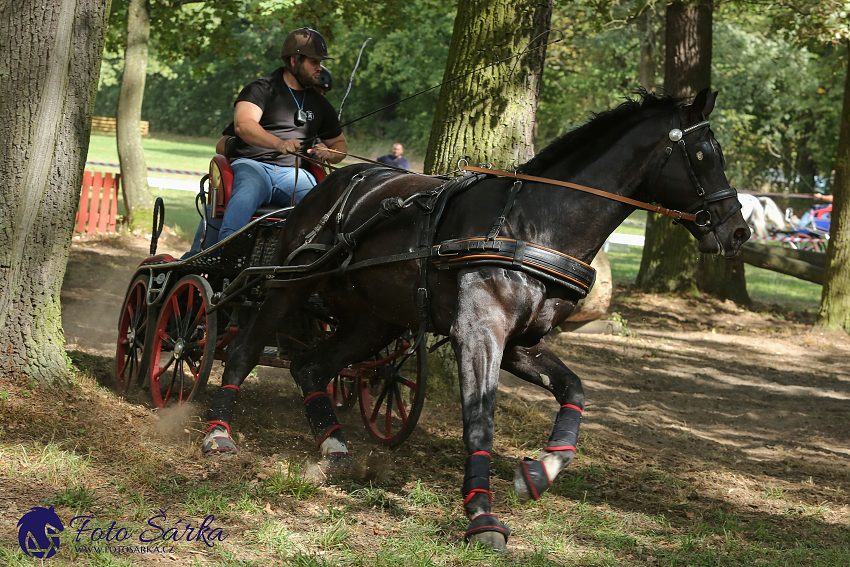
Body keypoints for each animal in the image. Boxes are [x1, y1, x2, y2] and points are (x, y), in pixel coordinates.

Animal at [200, 90, 748, 552]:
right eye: (705, 154)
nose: (737, 231)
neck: (532, 225)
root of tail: (334, 182)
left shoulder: (521, 344)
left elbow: (574, 390)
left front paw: (542, 470)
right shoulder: (479, 335)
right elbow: (480, 424)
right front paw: (482, 515)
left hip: (375, 320)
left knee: (311, 366)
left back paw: (334, 447)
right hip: (288, 285)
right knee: (245, 349)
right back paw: (218, 432)